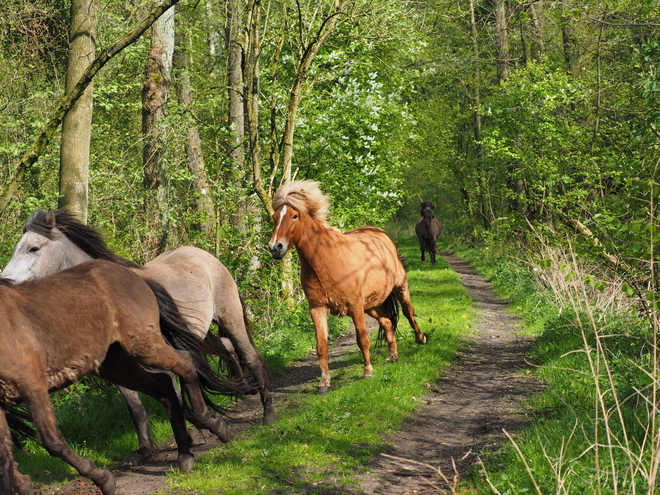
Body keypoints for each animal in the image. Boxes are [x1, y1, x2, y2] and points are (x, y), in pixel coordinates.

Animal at [0, 260, 250, 495]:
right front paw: (21, 484)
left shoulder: (33, 386)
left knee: (186, 365)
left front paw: (103, 480)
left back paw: (213, 425)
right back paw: (185, 453)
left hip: (144, 346)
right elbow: (5, 453)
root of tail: (134, 274)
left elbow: (52, 443)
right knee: (164, 386)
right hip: (115, 364)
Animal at [268, 180, 428, 394]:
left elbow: (362, 339)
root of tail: (380, 233)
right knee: (386, 322)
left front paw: (367, 371)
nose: (275, 247)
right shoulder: (317, 309)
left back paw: (420, 338)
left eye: (294, 216)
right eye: (274, 217)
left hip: (399, 288)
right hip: (371, 305)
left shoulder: (354, 306)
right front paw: (324, 383)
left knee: (408, 312)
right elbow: (321, 346)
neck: (327, 261)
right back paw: (393, 356)